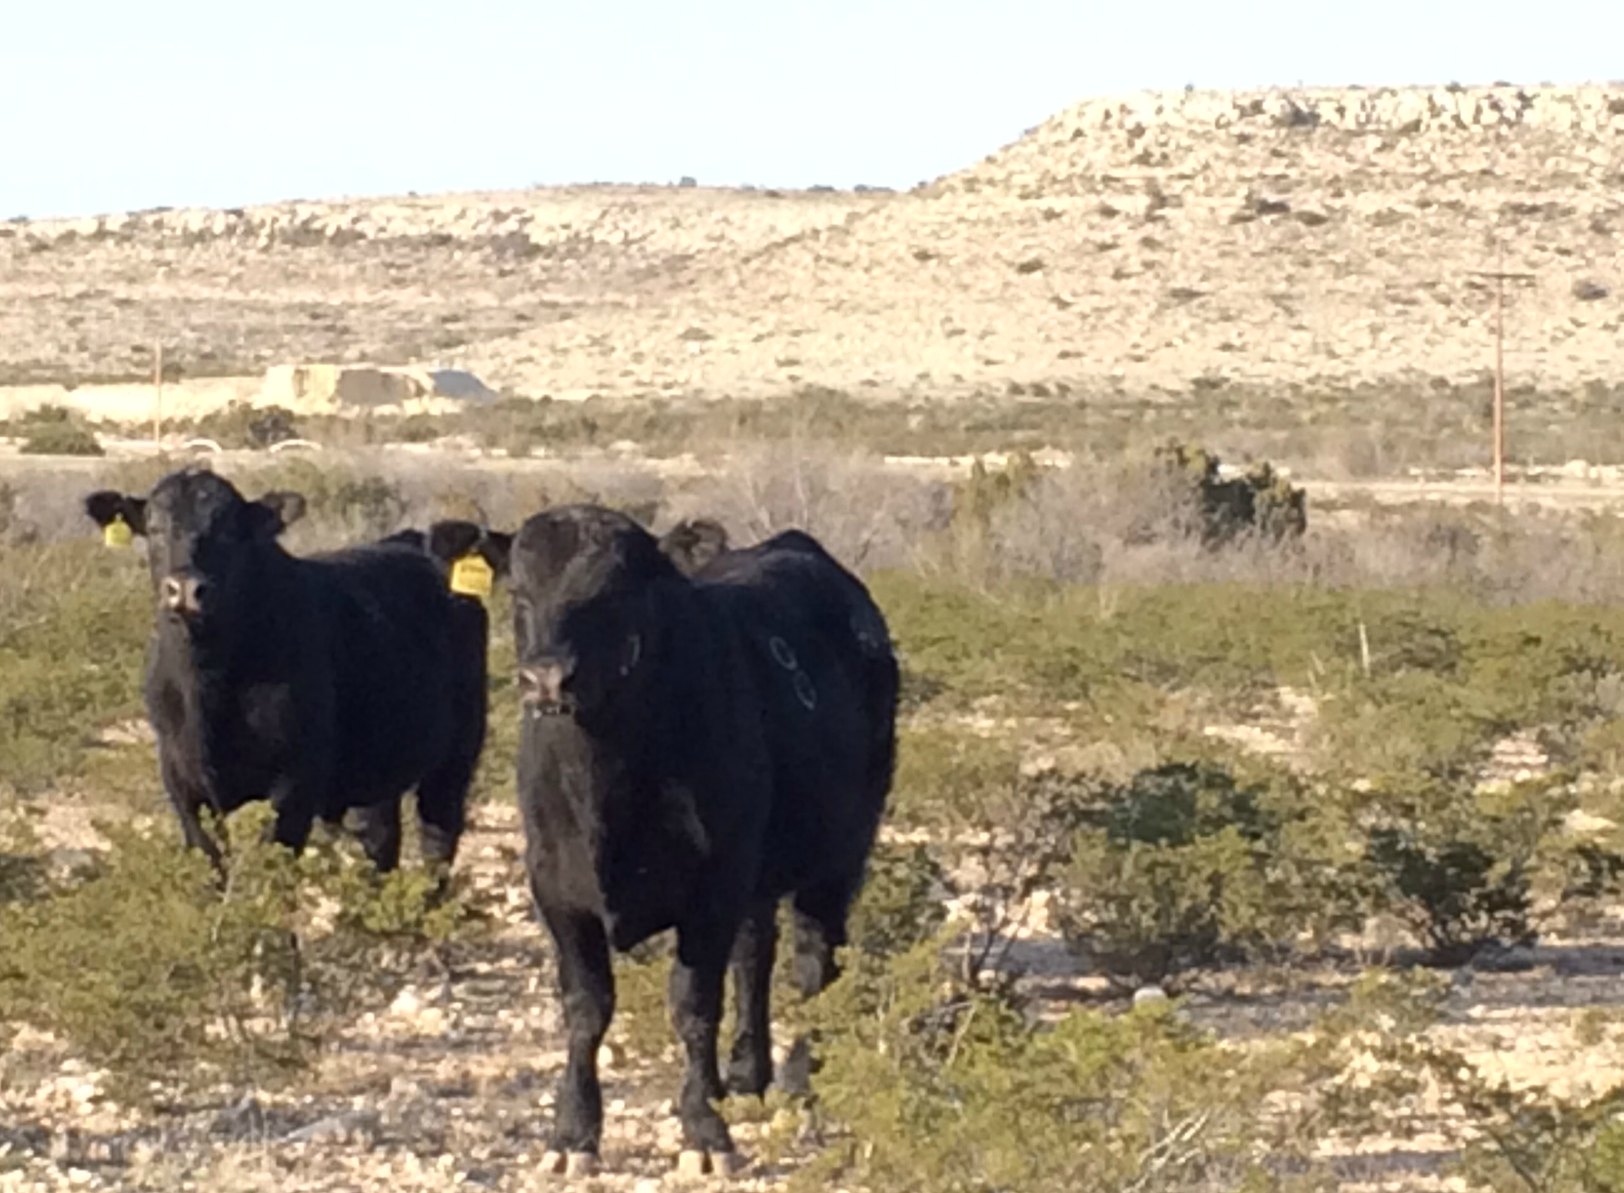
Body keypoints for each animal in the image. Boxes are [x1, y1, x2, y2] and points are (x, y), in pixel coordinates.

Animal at [81, 470, 483, 869]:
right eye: (154, 526)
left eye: (228, 530)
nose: (184, 589)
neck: (206, 690)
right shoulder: (182, 783)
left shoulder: (294, 785)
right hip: (377, 769)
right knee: (380, 840)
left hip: (457, 754)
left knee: (438, 841)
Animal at [509, 503, 902, 1175]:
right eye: (518, 592)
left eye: (614, 593)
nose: (547, 677)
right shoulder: (557, 892)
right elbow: (586, 1008)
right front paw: (572, 1135)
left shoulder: (711, 891)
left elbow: (693, 1006)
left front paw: (703, 1130)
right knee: (755, 957)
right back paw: (744, 1074)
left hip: (839, 854)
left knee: (814, 960)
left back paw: (801, 1079)